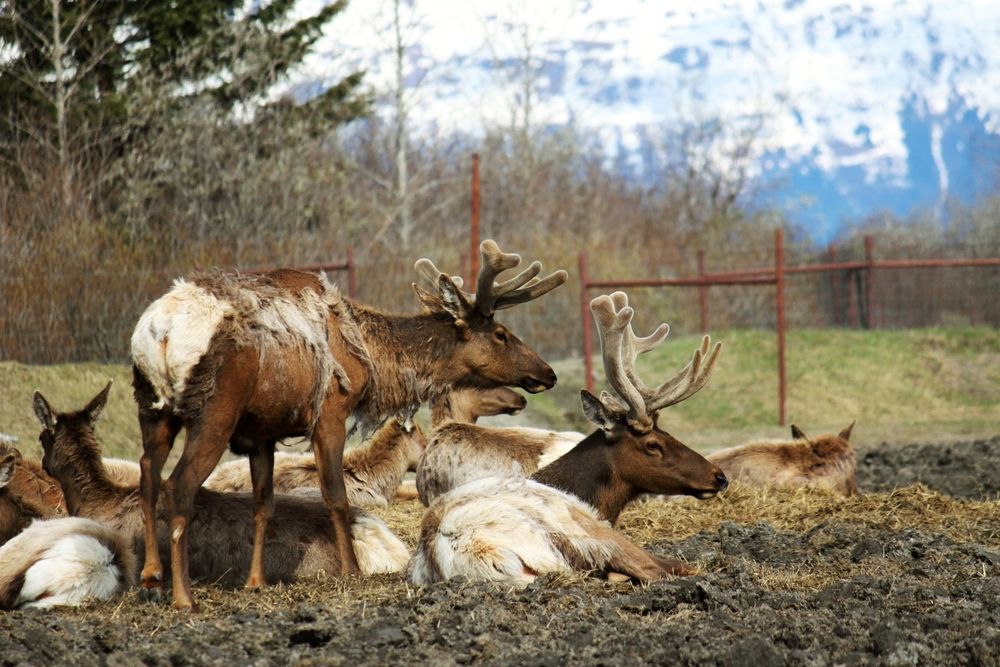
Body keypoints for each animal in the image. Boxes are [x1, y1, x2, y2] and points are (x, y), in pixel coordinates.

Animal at [130, 240, 565, 608]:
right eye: (501, 334)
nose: (548, 372)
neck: (372, 358)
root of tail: (160, 333)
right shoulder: (330, 413)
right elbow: (336, 496)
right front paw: (352, 569)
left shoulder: (263, 431)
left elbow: (263, 504)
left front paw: (256, 581)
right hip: (215, 411)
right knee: (178, 485)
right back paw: (182, 596)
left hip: (152, 409)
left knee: (147, 472)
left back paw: (150, 575)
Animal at [408, 292, 729, 586]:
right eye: (653, 444)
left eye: (668, 434)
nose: (719, 476)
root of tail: (486, 554)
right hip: (586, 532)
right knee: (657, 569)